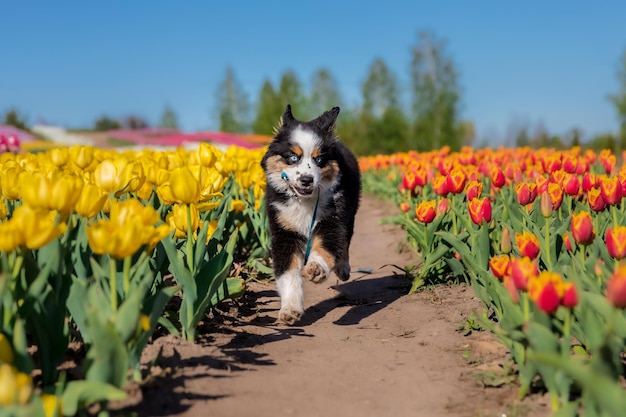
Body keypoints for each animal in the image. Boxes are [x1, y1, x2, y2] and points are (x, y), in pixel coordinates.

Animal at [260, 105, 360, 324]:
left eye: (319, 159)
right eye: (293, 157)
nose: (306, 180)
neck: (303, 201)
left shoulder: (332, 219)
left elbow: (326, 246)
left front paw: (316, 269)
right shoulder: (284, 231)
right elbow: (288, 274)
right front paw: (290, 309)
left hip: (351, 211)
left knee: (346, 241)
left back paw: (342, 268)